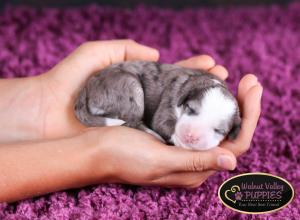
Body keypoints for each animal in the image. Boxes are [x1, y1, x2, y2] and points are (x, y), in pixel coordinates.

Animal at [74, 61, 241, 151]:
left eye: (220, 131)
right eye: (190, 108)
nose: (191, 136)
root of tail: (87, 86)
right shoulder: (170, 100)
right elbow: (162, 123)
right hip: (130, 87)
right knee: (131, 122)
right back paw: (152, 134)